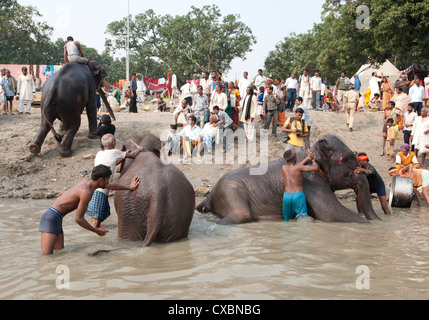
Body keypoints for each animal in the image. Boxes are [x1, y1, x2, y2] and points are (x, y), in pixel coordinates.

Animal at [196, 135, 380, 225]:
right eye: (349, 159)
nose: (360, 171)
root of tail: (209, 196)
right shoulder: (312, 181)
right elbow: (331, 213)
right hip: (230, 190)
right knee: (242, 214)